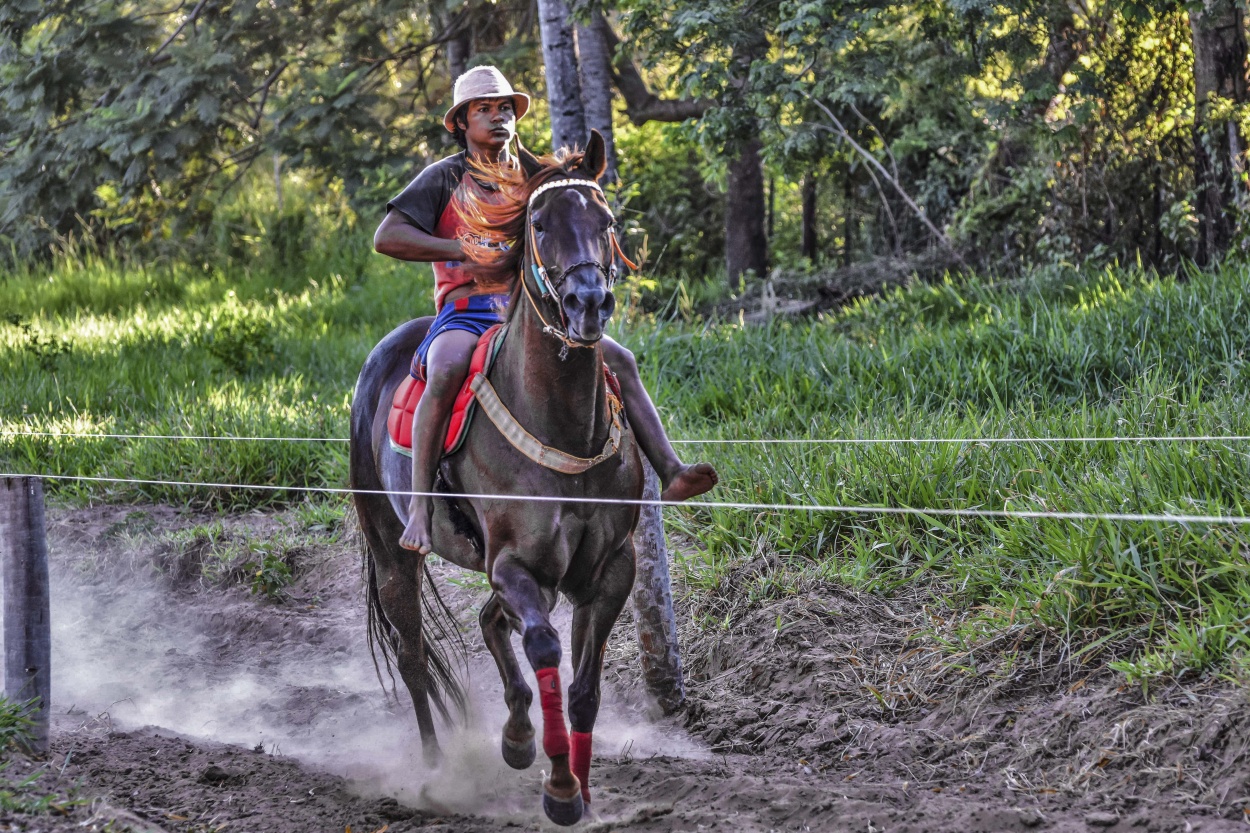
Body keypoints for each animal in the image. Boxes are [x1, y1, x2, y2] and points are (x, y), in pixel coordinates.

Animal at [350, 131, 645, 825]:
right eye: (538, 224)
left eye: (606, 220)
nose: (588, 303)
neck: (562, 424)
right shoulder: (515, 565)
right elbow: (544, 650)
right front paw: (560, 788)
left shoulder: (609, 570)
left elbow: (584, 688)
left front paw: (580, 789)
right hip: (392, 551)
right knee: (412, 655)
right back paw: (435, 772)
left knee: (487, 622)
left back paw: (512, 738)